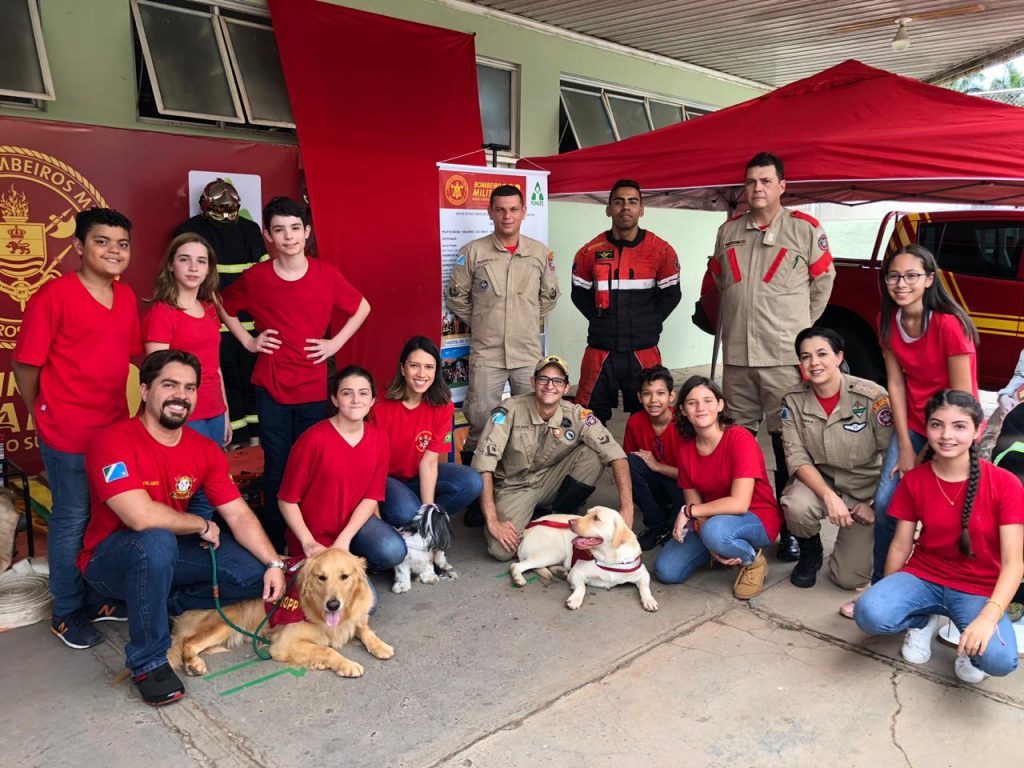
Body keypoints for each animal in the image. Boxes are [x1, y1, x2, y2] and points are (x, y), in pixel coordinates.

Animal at [169, 548, 393, 678]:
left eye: (344, 577)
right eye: (321, 577)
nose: (333, 605)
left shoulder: (355, 618)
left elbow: (364, 629)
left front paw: (380, 645)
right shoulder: (284, 643)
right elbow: (328, 650)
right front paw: (347, 665)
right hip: (231, 619)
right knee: (186, 643)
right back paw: (194, 664)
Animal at [510, 506, 658, 612]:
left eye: (596, 518)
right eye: (586, 514)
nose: (570, 521)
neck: (609, 557)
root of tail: (526, 530)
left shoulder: (643, 574)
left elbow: (645, 587)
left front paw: (649, 600)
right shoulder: (576, 573)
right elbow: (582, 587)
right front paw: (575, 599)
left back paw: (560, 571)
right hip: (554, 552)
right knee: (516, 565)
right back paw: (518, 578)